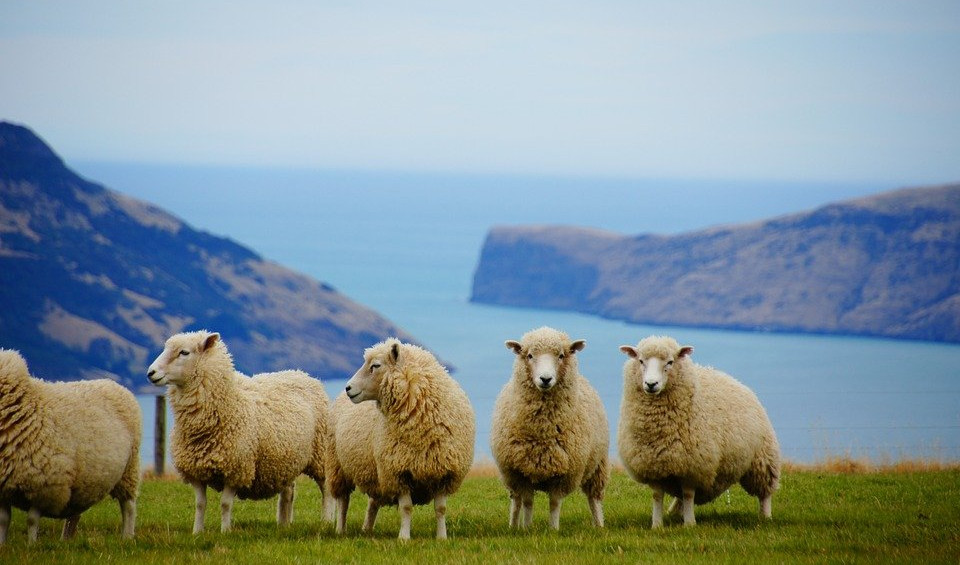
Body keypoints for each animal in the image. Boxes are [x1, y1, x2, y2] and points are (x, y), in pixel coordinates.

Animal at [0, 348, 141, 540]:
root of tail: (112, 383)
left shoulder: (44, 485)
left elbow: (31, 520)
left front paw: (31, 544)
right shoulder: (3, 490)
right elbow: (4, 520)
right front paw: (3, 543)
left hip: (128, 470)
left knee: (128, 506)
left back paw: (127, 536)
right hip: (84, 481)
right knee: (75, 514)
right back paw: (66, 540)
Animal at [146, 328, 332, 532]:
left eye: (184, 352)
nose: (150, 373)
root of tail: (301, 373)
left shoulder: (236, 468)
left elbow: (225, 504)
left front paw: (225, 531)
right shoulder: (195, 471)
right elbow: (200, 504)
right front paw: (197, 532)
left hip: (320, 454)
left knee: (326, 489)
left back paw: (327, 520)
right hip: (286, 459)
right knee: (288, 492)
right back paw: (283, 523)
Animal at [344, 338, 474, 540]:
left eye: (375, 365)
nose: (348, 388)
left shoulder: (443, 471)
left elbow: (441, 509)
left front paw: (442, 537)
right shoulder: (399, 471)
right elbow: (406, 508)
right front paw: (404, 537)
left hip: (376, 474)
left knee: (373, 502)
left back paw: (367, 530)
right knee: (340, 501)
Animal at [492, 326, 612, 528]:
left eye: (561, 355)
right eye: (530, 355)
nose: (545, 379)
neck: (542, 431)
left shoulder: (564, 473)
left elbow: (555, 503)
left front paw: (553, 529)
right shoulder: (521, 472)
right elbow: (528, 502)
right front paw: (526, 528)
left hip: (598, 464)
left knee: (594, 498)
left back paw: (599, 525)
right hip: (511, 476)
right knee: (516, 501)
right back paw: (513, 526)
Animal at [616, 332, 780, 528]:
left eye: (670, 362)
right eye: (641, 361)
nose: (651, 384)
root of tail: (735, 380)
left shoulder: (693, 465)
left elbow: (688, 494)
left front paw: (689, 524)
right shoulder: (653, 464)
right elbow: (657, 495)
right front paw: (657, 525)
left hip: (762, 458)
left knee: (765, 492)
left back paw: (766, 516)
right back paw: (675, 512)